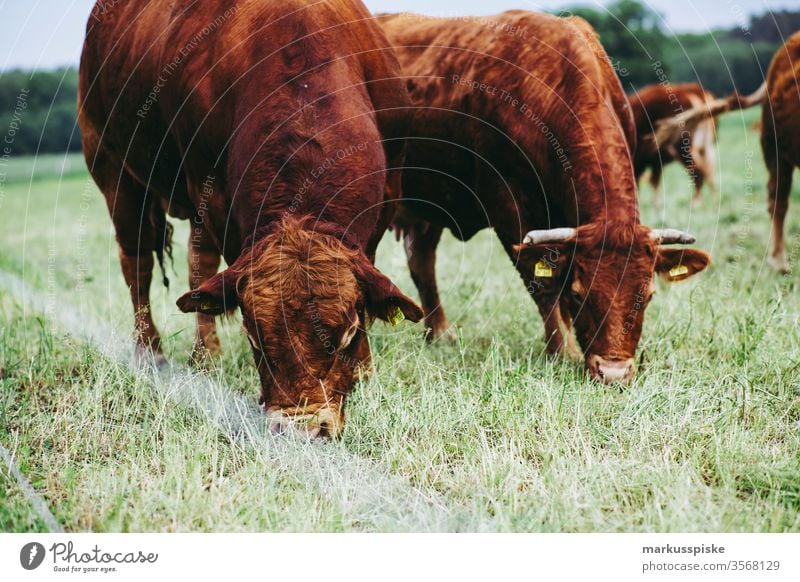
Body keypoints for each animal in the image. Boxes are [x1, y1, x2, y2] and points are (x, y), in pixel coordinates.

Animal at [78, 0, 422, 438]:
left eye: (346, 334)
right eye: (253, 336)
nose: (301, 428)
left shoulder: (388, 197)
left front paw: (362, 368)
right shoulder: (213, 199)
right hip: (112, 168)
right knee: (138, 262)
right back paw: (154, 352)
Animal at [382, 11, 712, 386]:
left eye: (648, 296)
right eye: (580, 294)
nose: (613, 372)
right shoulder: (511, 209)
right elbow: (543, 283)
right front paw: (562, 350)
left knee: (422, 262)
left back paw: (439, 334)